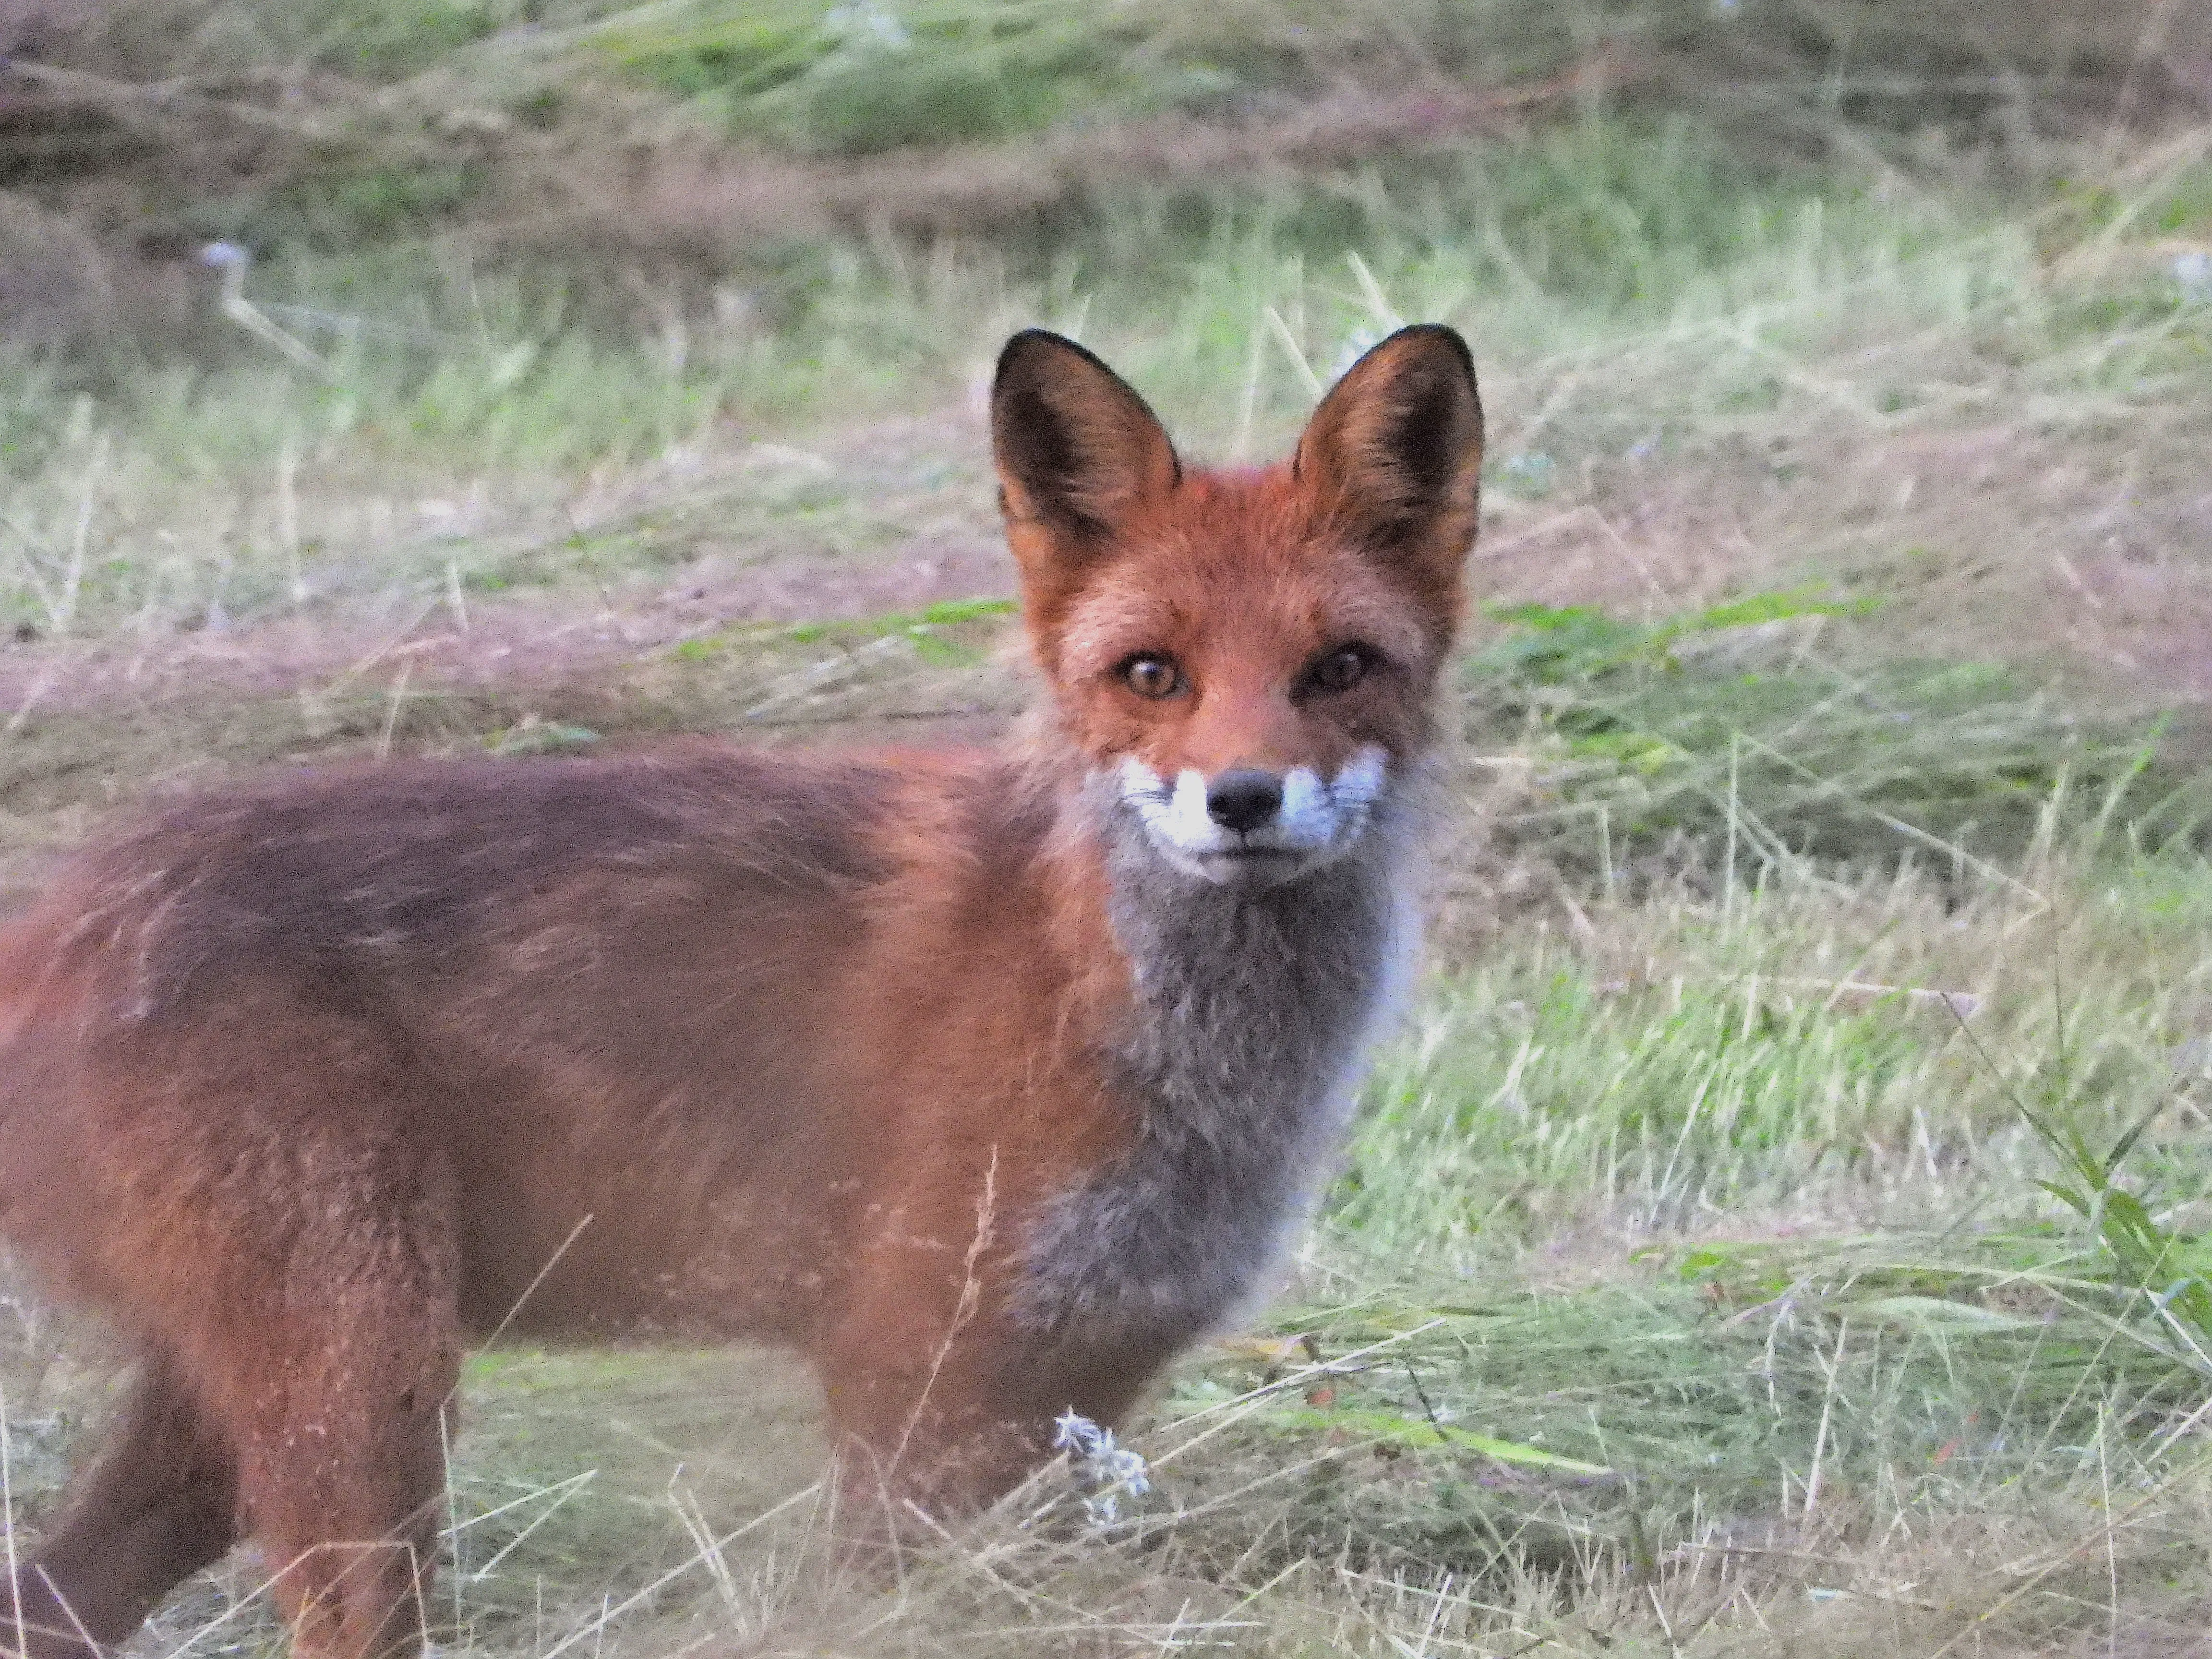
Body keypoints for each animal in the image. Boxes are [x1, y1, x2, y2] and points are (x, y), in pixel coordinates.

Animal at [0, 323, 1483, 1659]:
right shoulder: (908, 1374)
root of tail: (59, 910)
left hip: (236, 1426)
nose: (1243, 799)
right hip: (366, 1398)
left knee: (48, 1603)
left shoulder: (1084, 1388)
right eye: (1152, 674)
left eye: (1340, 668)